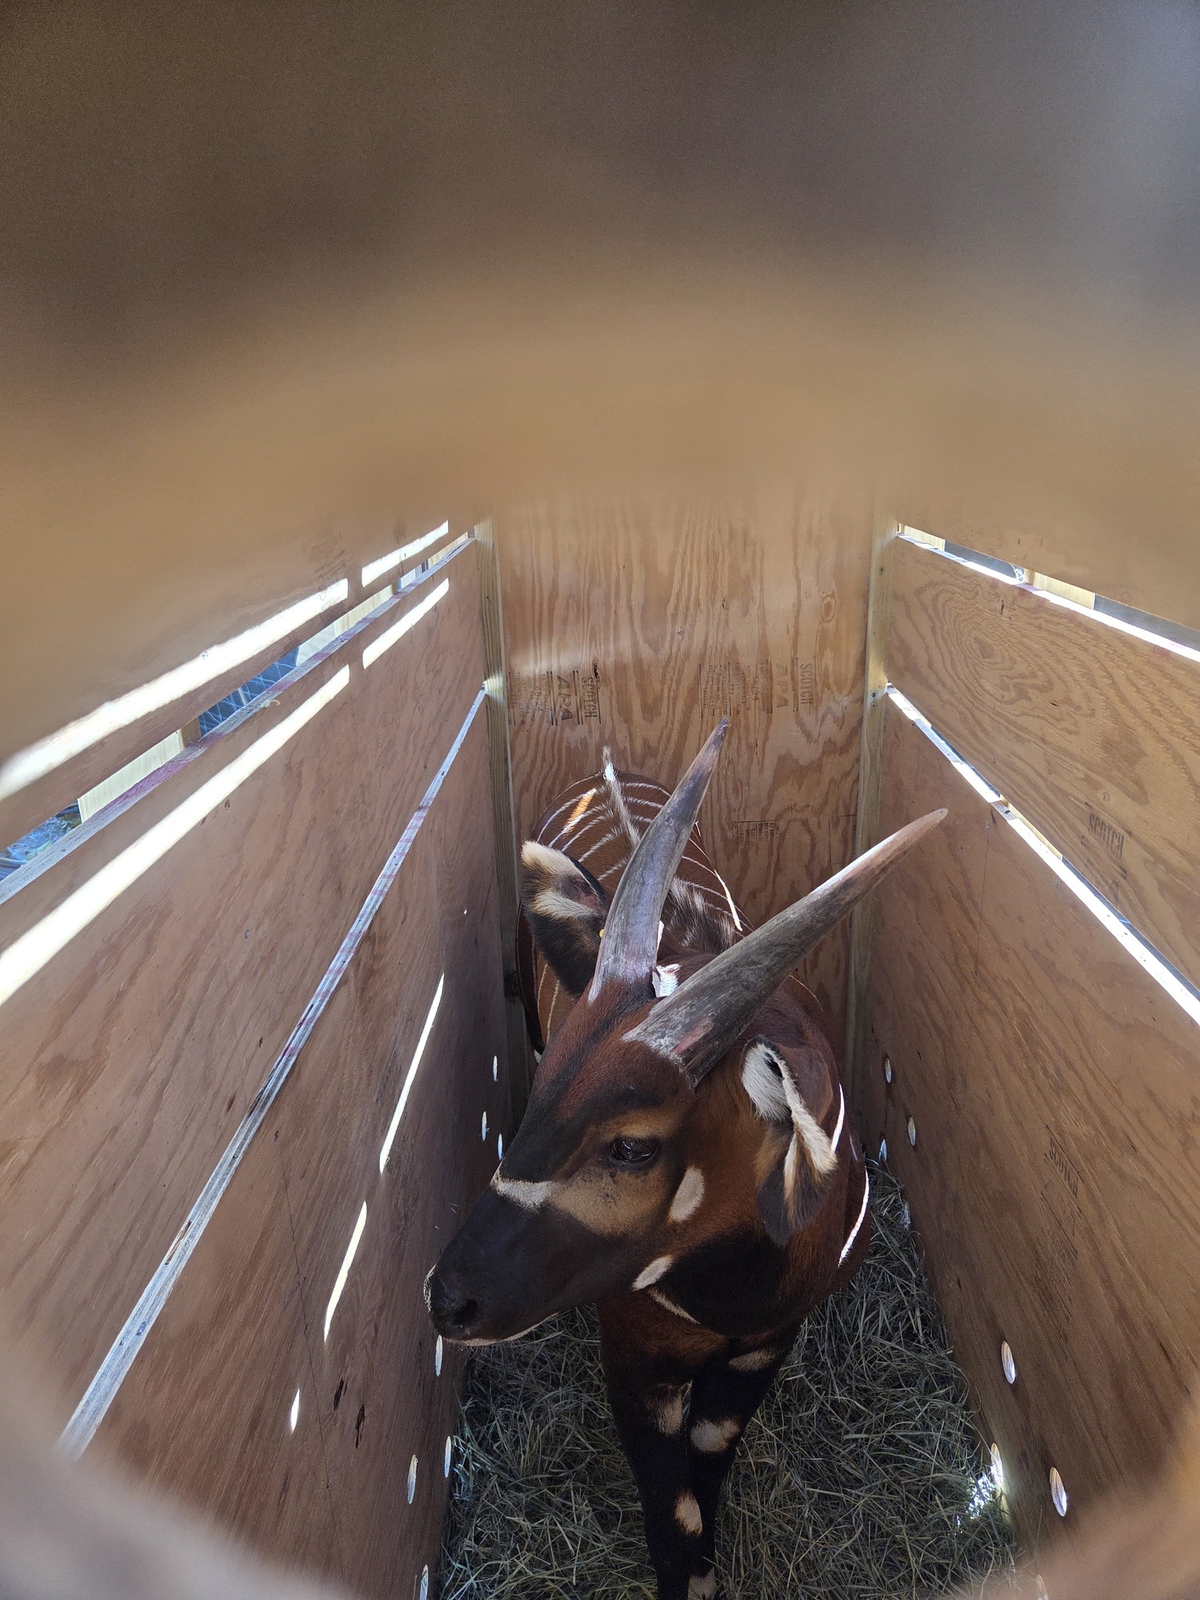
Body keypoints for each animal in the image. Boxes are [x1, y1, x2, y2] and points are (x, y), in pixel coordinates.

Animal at [427, 722, 945, 1600]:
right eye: (543, 1093)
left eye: (633, 1144)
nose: (447, 1299)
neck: (729, 1291)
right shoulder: (639, 1360)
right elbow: (674, 1513)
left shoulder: (765, 1343)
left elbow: (707, 1462)